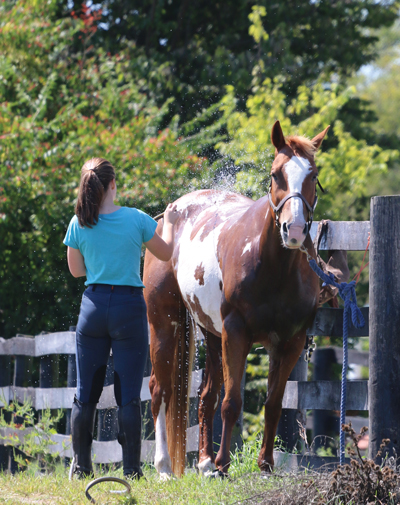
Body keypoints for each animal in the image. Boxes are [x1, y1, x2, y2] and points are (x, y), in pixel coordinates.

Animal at [142, 119, 330, 476]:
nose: (295, 230)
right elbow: (232, 403)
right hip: (164, 323)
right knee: (161, 389)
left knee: (206, 395)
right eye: (275, 174)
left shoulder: (290, 342)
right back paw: (164, 467)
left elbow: (273, 403)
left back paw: (203, 461)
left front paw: (265, 463)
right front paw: (224, 464)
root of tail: (168, 215)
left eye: (312, 175)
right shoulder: (237, 332)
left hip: (212, 334)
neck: (273, 268)